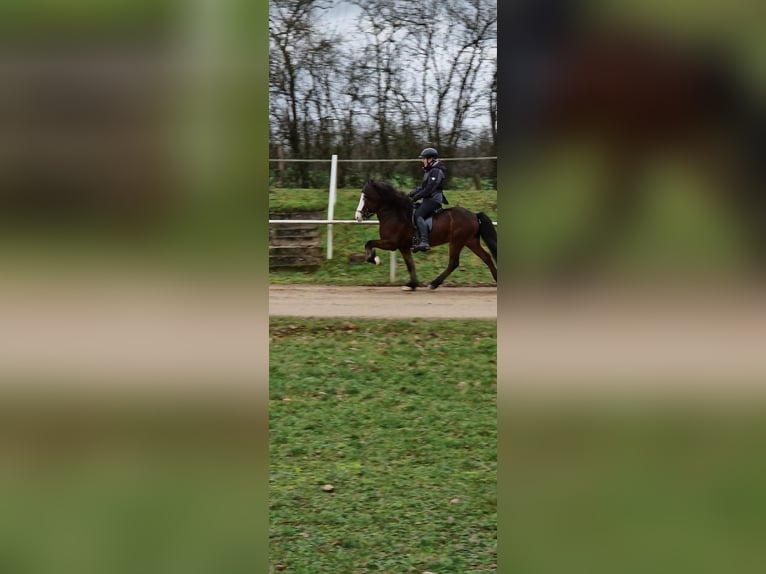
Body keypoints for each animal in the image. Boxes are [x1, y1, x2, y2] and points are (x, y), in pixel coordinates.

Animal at [354, 181, 498, 292]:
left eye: (365, 197)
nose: (358, 216)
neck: (394, 213)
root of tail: (474, 215)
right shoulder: (403, 247)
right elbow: (410, 264)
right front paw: (411, 285)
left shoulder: (391, 243)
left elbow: (369, 243)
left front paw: (374, 259)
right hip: (470, 241)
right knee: (486, 257)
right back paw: (496, 279)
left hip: (457, 242)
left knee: (453, 263)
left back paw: (433, 284)